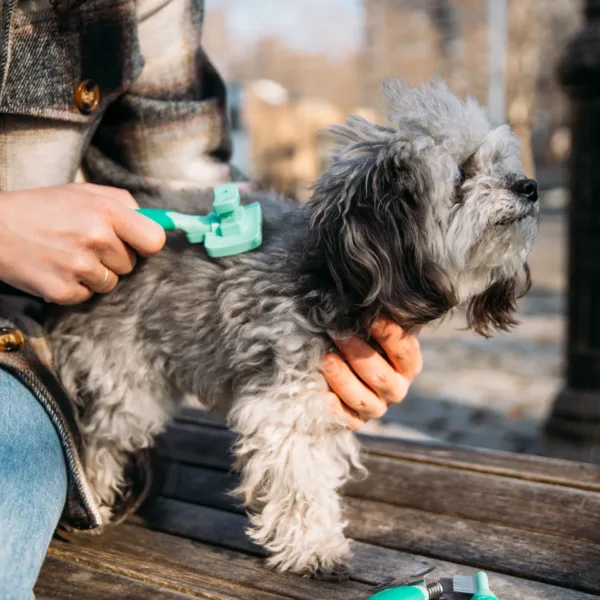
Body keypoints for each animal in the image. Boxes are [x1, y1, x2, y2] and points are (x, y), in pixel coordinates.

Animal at [48, 78, 540, 572]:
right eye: (463, 172)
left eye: (500, 162)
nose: (531, 186)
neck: (335, 276)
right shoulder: (283, 405)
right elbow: (301, 482)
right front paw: (314, 547)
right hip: (126, 386)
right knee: (99, 444)